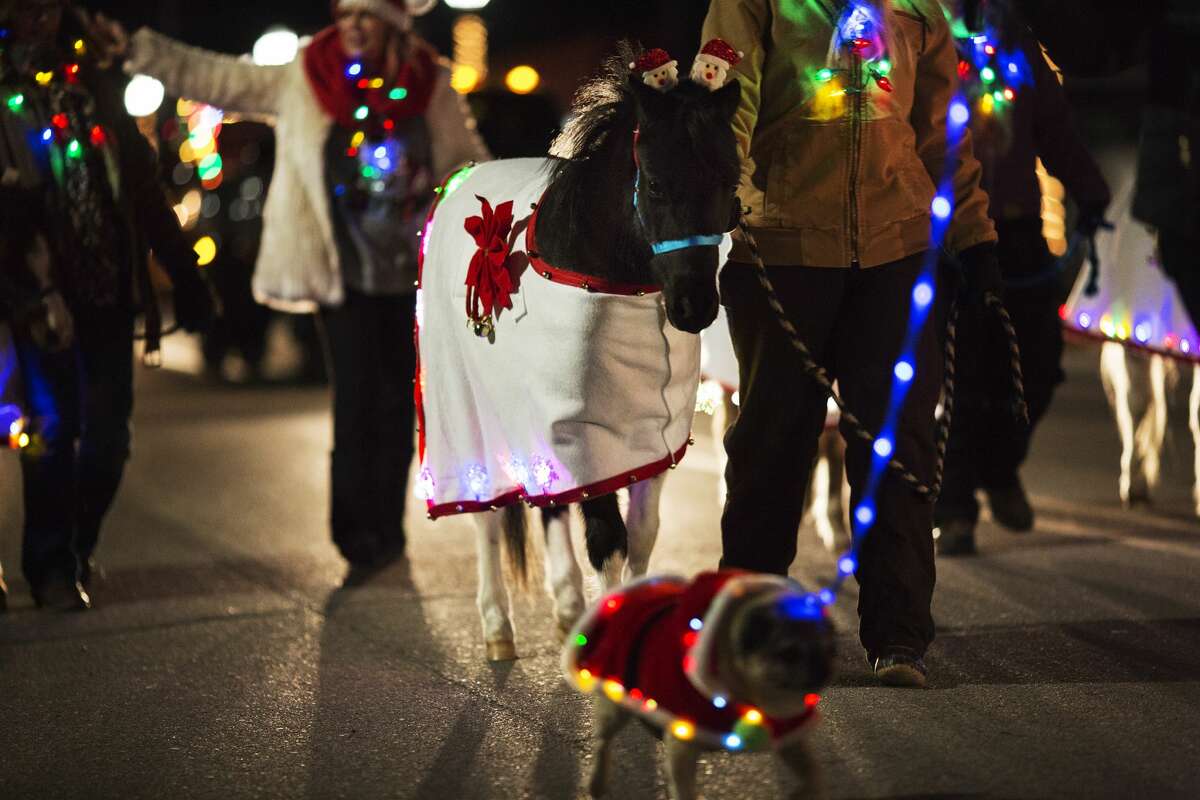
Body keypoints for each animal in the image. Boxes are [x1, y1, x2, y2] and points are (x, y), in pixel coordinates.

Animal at [417, 51, 744, 662]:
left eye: (731, 179)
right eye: (656, 183)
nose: (694, 306)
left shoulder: (647, 438)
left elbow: (642, 534)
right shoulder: (584, 432)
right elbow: (608, 539)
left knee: (547, 502)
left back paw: (568, 604)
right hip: (462, 413)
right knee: (484, 513)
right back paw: (497, 625)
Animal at [561, 568, 835, 800]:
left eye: (829, 650)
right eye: (789, 653)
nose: (821, 670)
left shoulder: (789, 734)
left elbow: (813, 772)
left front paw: (806, 791)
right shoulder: (682, 749)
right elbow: (684, 789)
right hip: (614, 706)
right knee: (603, 743)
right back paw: (597, 781)